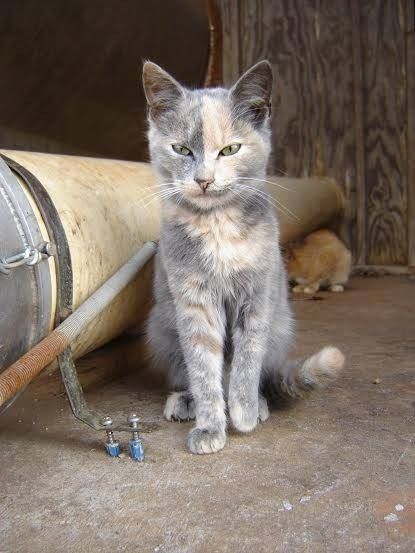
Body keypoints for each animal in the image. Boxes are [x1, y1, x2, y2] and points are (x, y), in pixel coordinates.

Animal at [143, 60, 344, 452]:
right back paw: (185, 401)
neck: (217, 225)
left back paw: (261, 402)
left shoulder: (257, 294)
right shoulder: (193, 298)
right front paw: (210, 425)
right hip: (162, 327)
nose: (204, 179)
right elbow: (203, 366)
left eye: (230, 149)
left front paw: (244, 411)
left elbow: (247, 360)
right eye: (182, 149)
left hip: (280, 325)